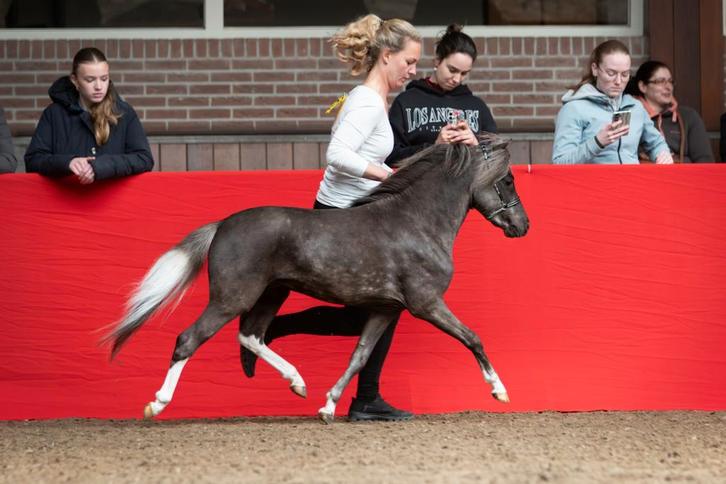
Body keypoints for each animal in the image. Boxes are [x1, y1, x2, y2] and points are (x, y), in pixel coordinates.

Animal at [103, 133, 529, 422]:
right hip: (231, 297)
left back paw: (297, 382)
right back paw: (156, 404)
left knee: (252, 334)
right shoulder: (427, 304)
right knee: (189, 339)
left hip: (271, 294)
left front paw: (328, 406)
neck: (416, 222)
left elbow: (360, 356)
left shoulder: (385, 309)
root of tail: (222, 225)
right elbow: (472, 337)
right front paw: (501, 391)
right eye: (508, 179)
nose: (522, 226)